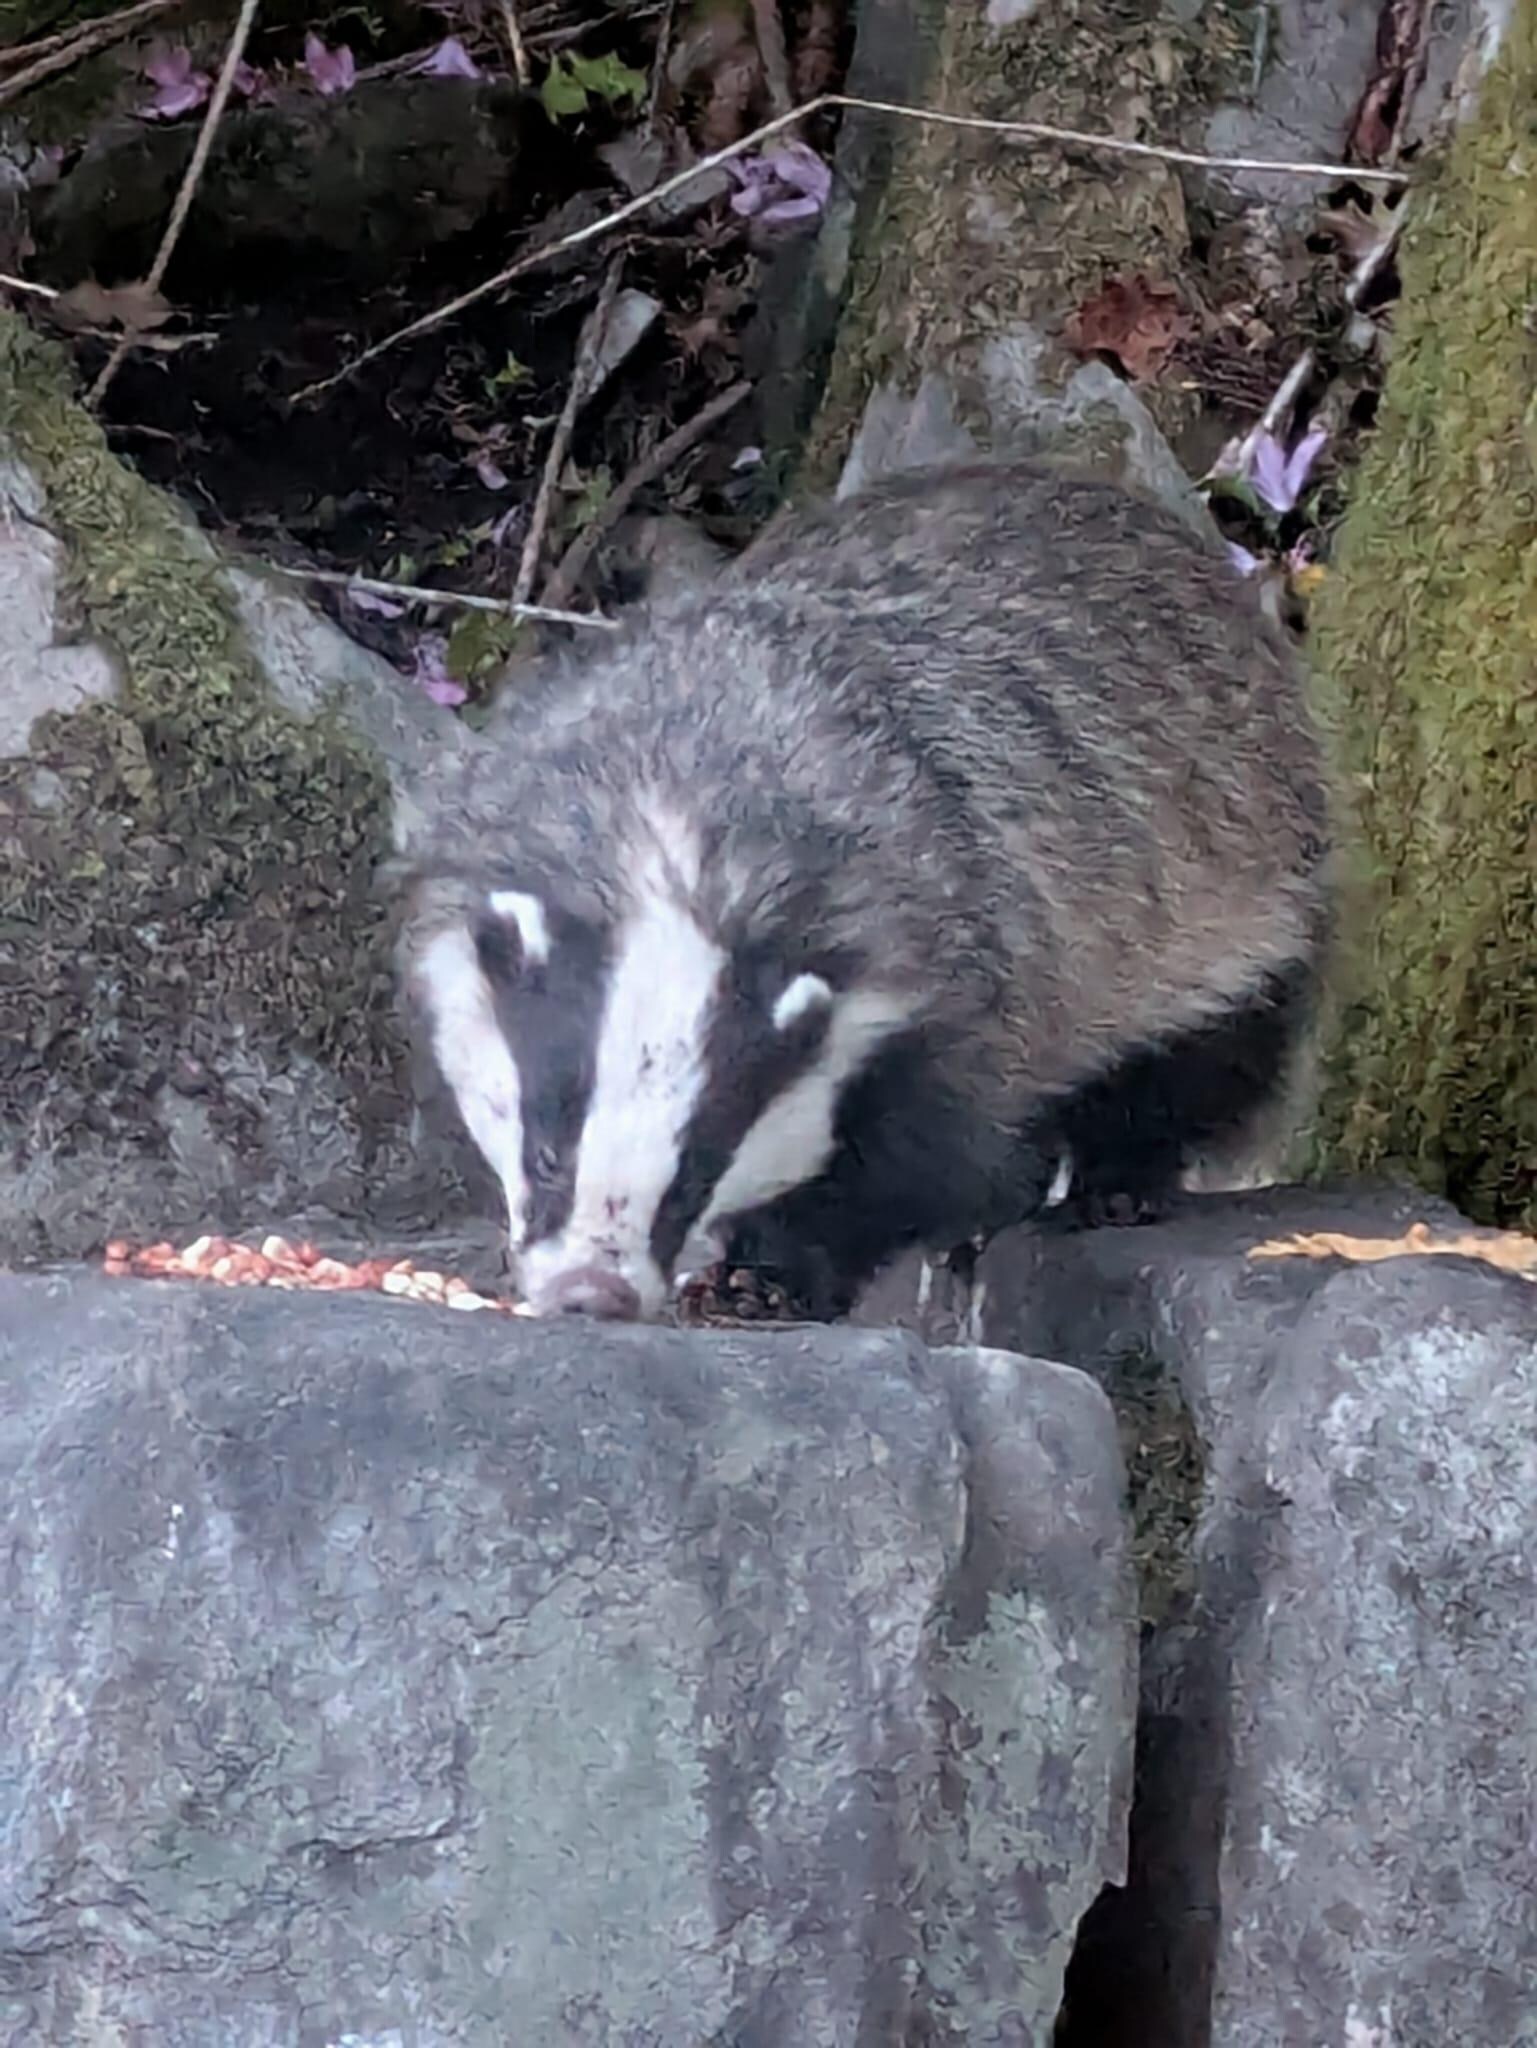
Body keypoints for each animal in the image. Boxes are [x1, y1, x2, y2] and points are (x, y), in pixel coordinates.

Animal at [394, 459, 1331, 1322]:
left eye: (693, 1177)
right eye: (547, 1152)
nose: (594, 1293)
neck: (673, 828)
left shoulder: (951, 974)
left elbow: (918, 1164)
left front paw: (769, 1277)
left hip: (1239, 879)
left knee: (1206, 1052)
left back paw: (1115, 1182)